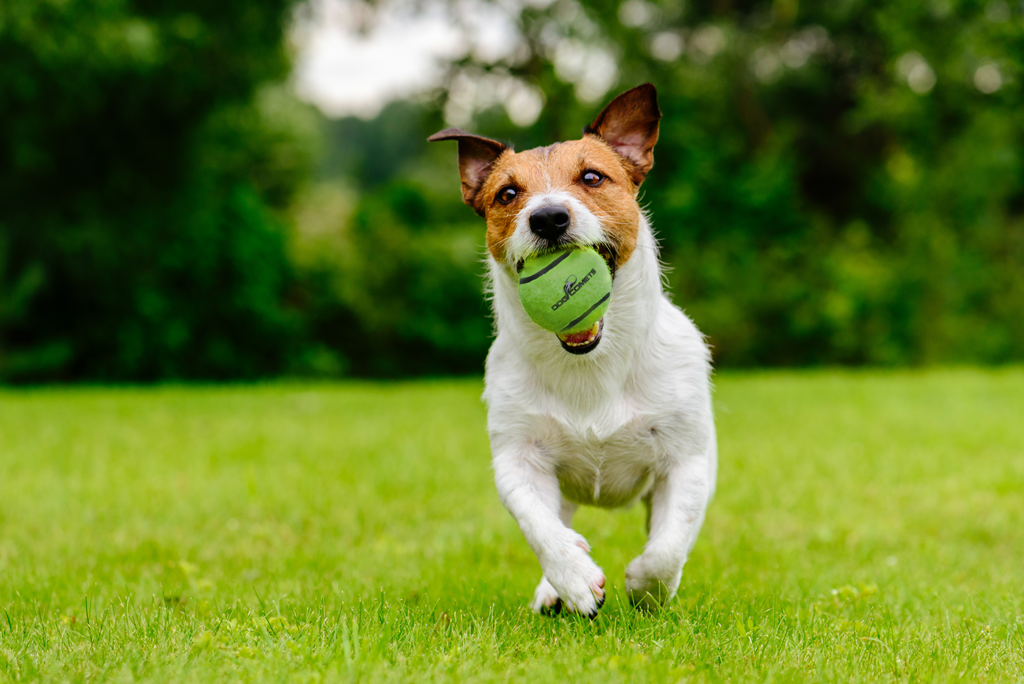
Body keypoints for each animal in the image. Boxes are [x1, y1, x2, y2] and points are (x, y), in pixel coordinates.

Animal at [428, 83, 716, 614]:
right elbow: (539, 526)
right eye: (508, 194)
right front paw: (573, 577)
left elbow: (668, 545)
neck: (590, 364)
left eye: (592, 177)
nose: (548, 217)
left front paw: (647, 586)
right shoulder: (517, 457)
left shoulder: (687, 461)